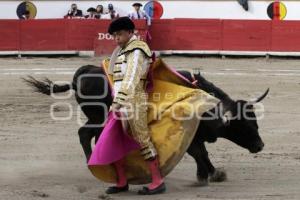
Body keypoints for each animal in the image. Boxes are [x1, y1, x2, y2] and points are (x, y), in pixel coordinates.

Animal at [22, 64, 268, 186]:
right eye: (242, 125)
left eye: (254, 120)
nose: (260, 146)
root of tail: (80, 75)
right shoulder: (189, 135)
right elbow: (199, 153)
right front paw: (209, 175)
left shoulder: (196, 134)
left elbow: (203, 152)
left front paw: (212, 173)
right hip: (99, 118)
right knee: (84, 134)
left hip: (99, 121)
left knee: (90, 136)